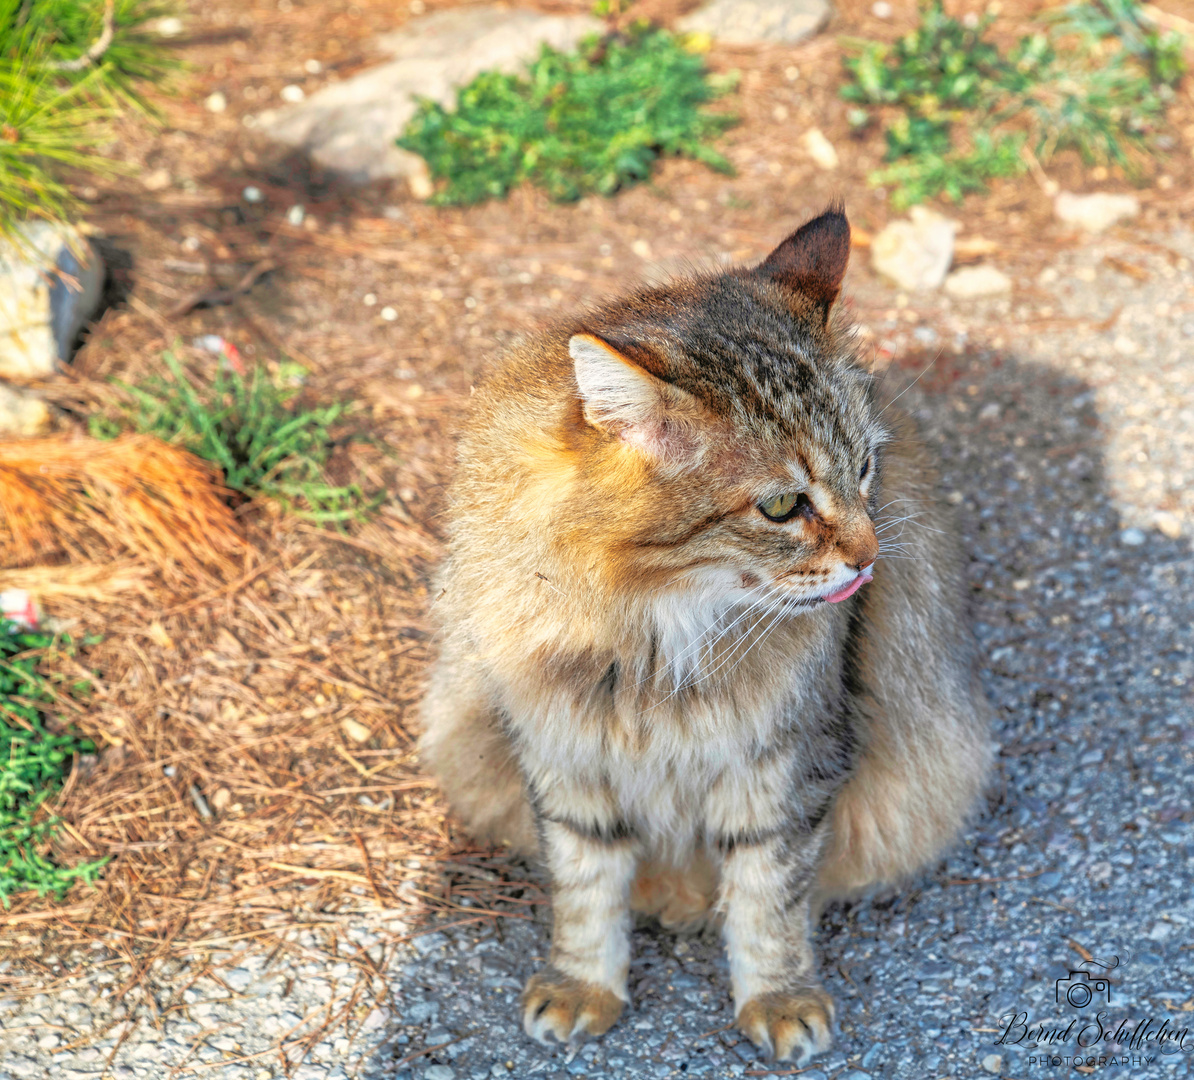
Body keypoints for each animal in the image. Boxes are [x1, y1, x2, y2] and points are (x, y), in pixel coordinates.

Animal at [415, 206, 993, 1064]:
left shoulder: (787, 763)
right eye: (783, 507)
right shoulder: (565, 751)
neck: (650, 634)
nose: (869, 558)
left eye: (864, 470)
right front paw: (585, 983)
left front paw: (777, 998)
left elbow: (768, 898)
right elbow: (585, 887)